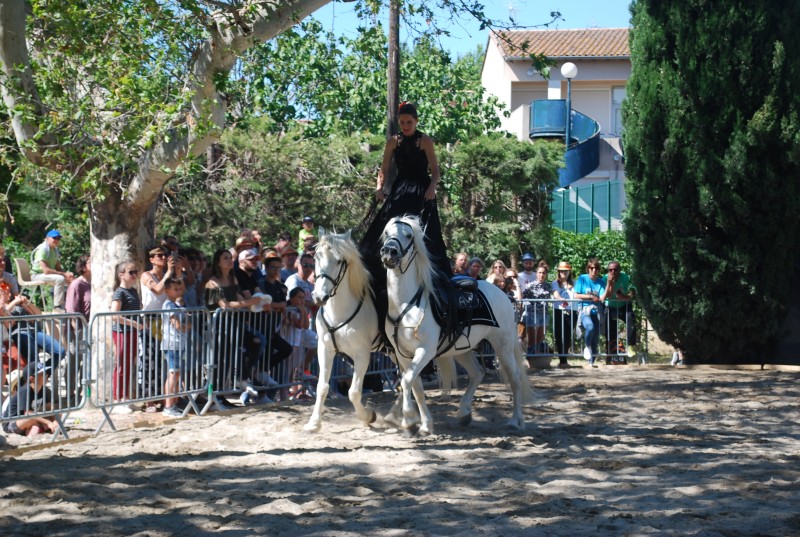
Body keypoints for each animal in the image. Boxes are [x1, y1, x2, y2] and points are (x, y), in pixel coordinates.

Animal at [380, 215, 536, 436]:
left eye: (409, 235)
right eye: (386, 232)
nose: (389, 252)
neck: (406, 304)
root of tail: (501, 293)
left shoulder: (425, 351)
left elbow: (407, 381)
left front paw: (409, 420)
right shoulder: (403, 355)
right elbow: (415, 386)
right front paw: (425, 425)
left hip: (502, 344)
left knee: (514, 378)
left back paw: (516, 421)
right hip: (462, 349)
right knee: (477, 373)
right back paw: (464, 413)